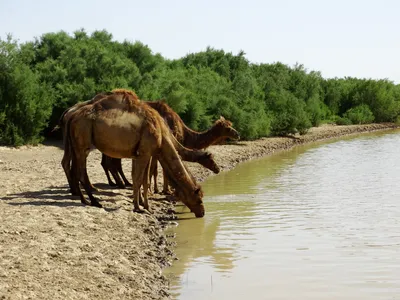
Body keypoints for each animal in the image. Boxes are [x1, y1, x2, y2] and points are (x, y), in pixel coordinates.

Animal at [66, 90, 206, 217]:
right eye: (199, 199)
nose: (202, 213)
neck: (162, 134)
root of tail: (72, 117)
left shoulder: (140, 154)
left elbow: (142, 180)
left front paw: (146, 206)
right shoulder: (144, 153)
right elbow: (139, 180)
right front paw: (138, 208)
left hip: (76, 145)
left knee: (75, 170)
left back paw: (85, 200)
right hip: (83, 140)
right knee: (81, 172)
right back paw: (94, 201)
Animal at [104, 101, 241, 193]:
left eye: (230, 125)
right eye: (228, 127)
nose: (238, 134)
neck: (186, 134)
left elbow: (157, 169)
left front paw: (159, 189)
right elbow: (158, 170)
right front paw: (164, 190)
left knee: (112, 162)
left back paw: (122, 183)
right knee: (111, 162)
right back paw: (120, 184)